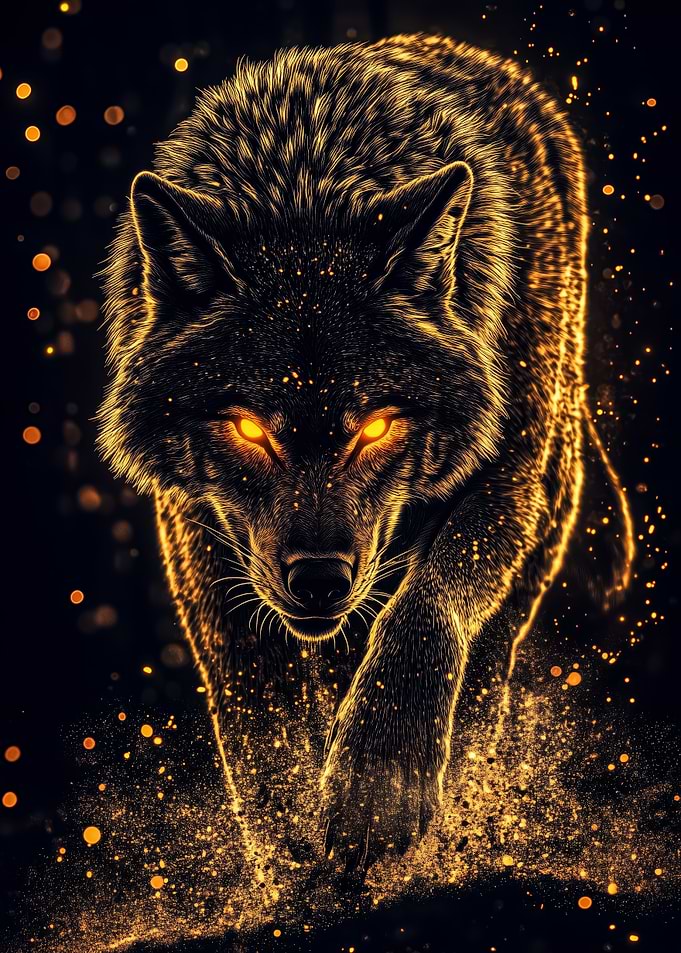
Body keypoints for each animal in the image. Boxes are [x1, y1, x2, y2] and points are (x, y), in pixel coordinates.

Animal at [97, 33, 634, 874]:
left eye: (376, 425)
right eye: (248, 427)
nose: (318, 579)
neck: (305, 175)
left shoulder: (512, 476)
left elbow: (428, 602)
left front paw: (377, 790)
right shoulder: (199, 535)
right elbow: (262, 731)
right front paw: (295, 865)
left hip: (550, 493)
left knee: (484, 673)